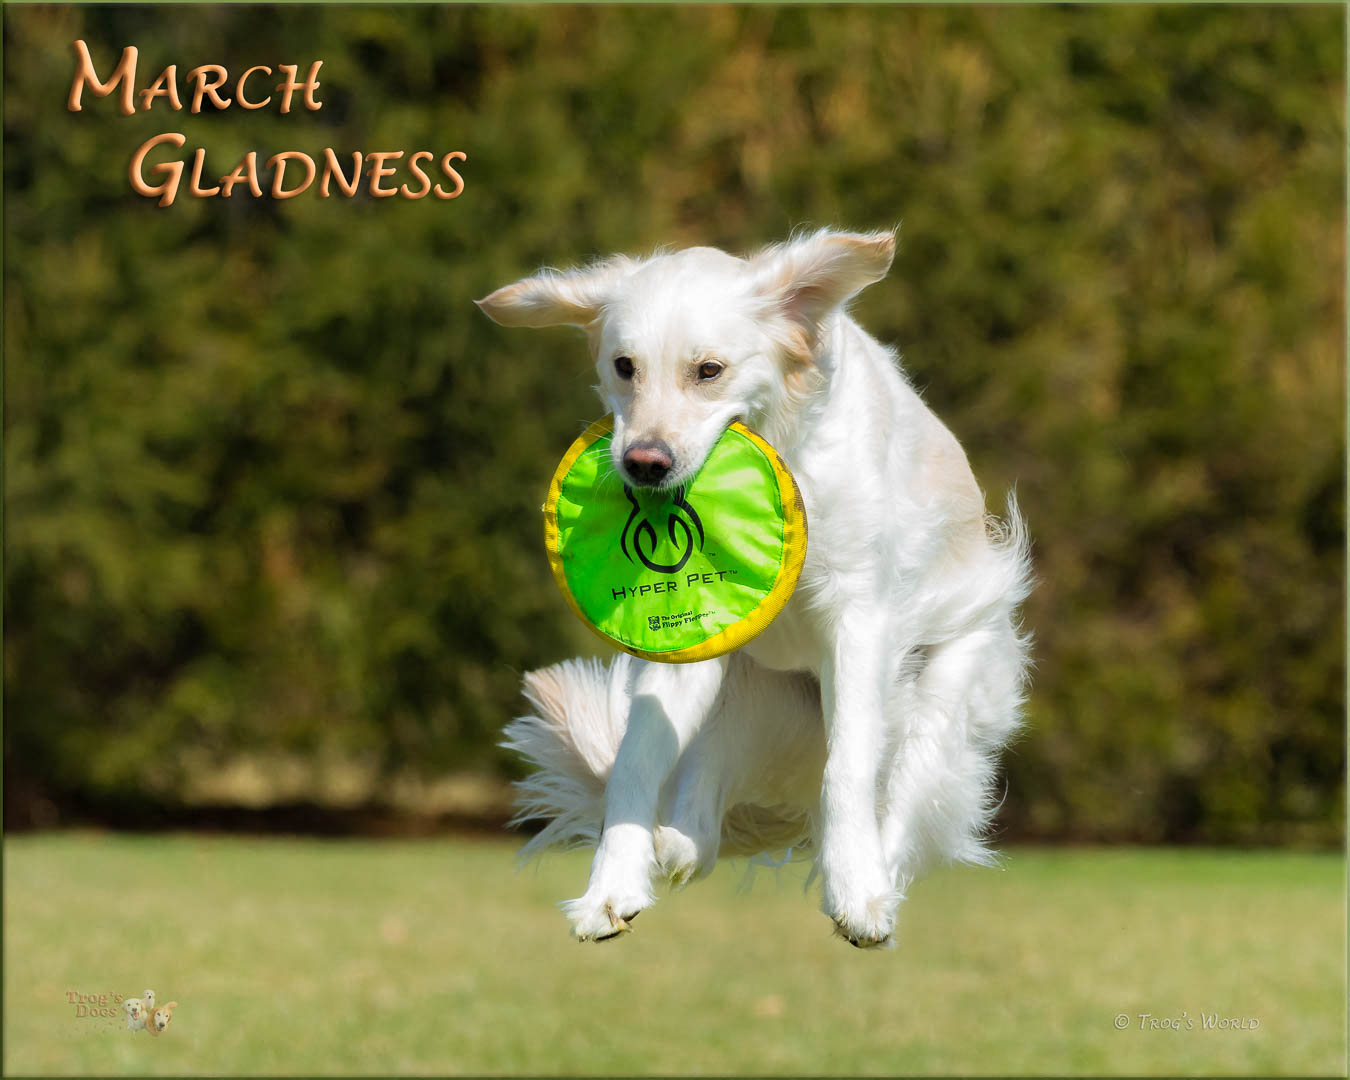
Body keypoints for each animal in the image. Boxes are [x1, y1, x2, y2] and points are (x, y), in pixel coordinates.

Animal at [480, 225, 1026, 945]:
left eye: (709, 371)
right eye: (625, 366)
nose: (643, 464)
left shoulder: (859, 619)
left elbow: (849, 765)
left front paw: (857, 892)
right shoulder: (685, 635)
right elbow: (635, 763)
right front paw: (610, 888)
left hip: (943, 690)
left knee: (902, 801)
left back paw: (874, 880)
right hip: (750, 696)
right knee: (703, 807)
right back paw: (676, 845)